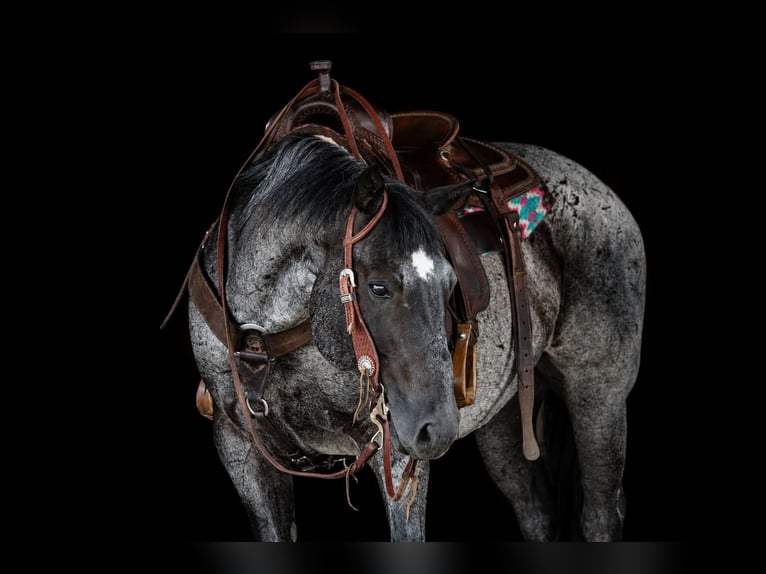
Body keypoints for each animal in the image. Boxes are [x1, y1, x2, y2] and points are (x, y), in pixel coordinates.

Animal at [179, 126, 645, 541]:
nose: (438, 428)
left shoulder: (395, 449)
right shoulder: (240, 449)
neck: (265, 336)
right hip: (506, 417)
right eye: (378, 287)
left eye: (451, 284)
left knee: (600, 514)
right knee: (538, 513)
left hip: (598, 398)